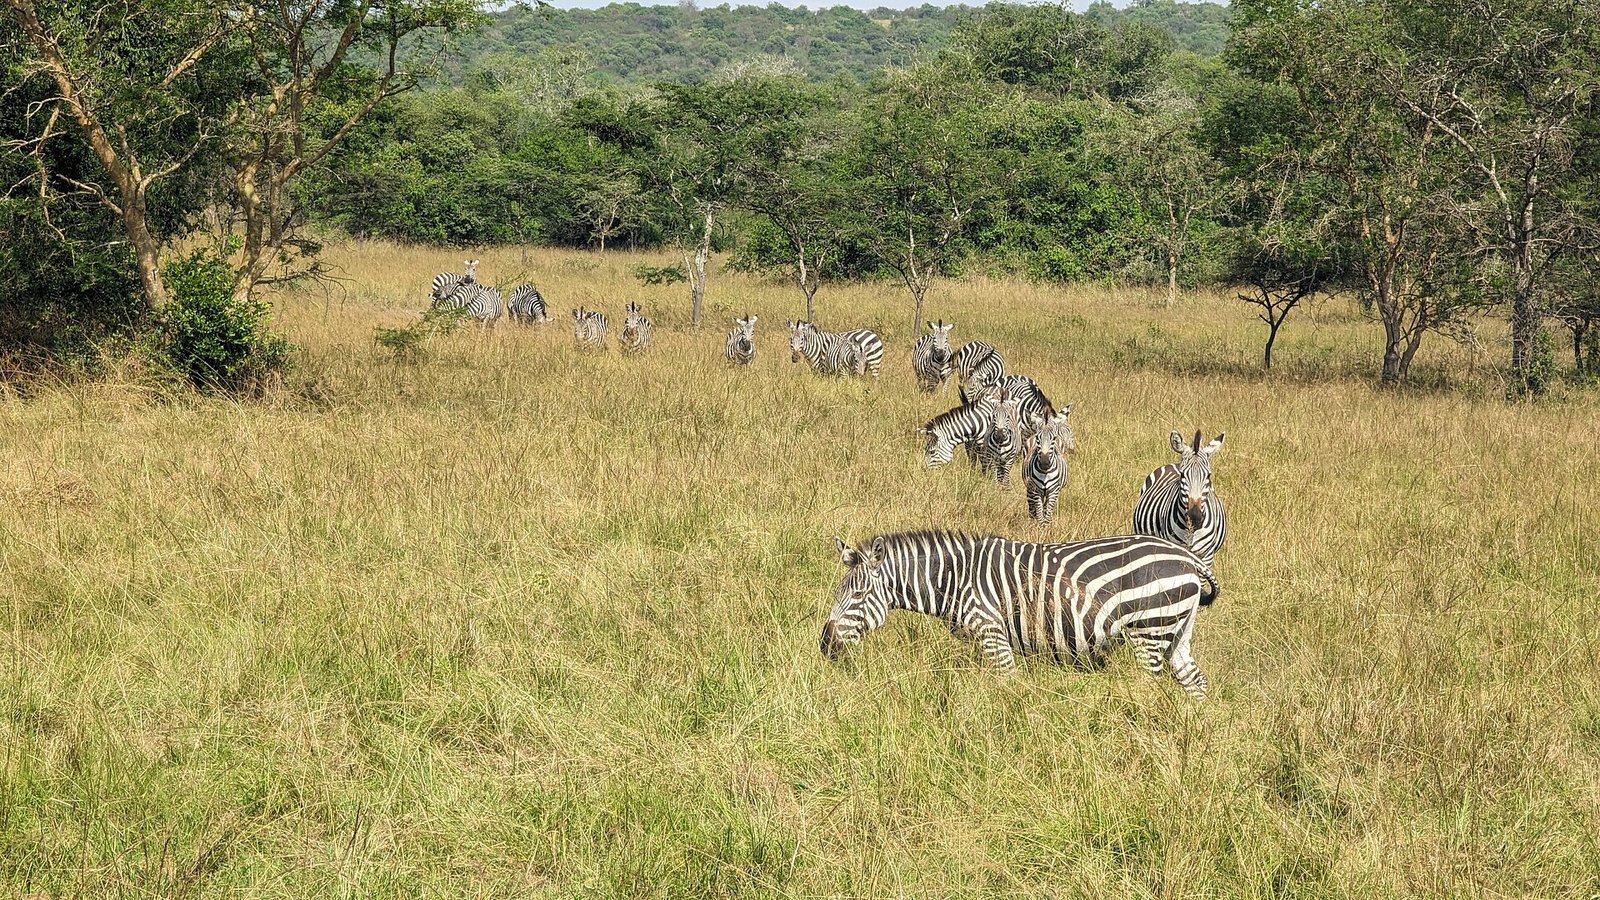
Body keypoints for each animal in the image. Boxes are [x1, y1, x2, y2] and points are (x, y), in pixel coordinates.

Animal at [821, 531, 1219, 699]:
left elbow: (1006, 687)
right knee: (1195, 683)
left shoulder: (992, 632)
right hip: (1177, 631)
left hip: (1150, 630)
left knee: (1151, 687)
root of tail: (1189, 558)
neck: (954, 579)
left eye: (858, 595)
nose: (825, 645)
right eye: (838, 592)